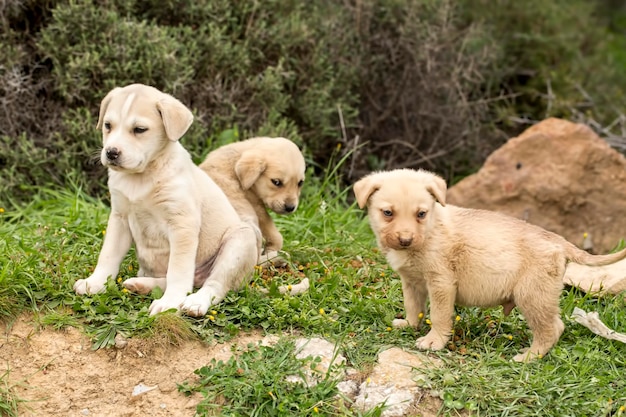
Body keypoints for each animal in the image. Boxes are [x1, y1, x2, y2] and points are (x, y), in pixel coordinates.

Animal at [73, 83, 258, 316]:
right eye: (108, 125)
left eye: (139, 129)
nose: (111, 152)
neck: (141, 177)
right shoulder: (119, 218)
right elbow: (108, 255)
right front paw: (95, 283)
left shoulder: (182, 225)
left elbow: (178, 270)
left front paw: (170, 302)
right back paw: (140, 285)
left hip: (240, 241)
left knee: (214, 285)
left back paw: (194, 302)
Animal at [200, 136, 304, 264]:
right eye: (276, 182)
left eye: (300, 183)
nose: (290, 208)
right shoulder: (257, 208)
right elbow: (273, 231)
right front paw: (273, 248)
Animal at [352, 167, 624, 360]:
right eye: (388, 213)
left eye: (421, 214)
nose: (406, 240)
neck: (429, 232)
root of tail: (559, 241)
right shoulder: (411, 283)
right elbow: (413, 307)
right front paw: (408, 324)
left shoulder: (441, 284)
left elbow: (439, 315)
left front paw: (434, 341)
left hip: (533, 295)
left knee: (552, 328)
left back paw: (529, 357)